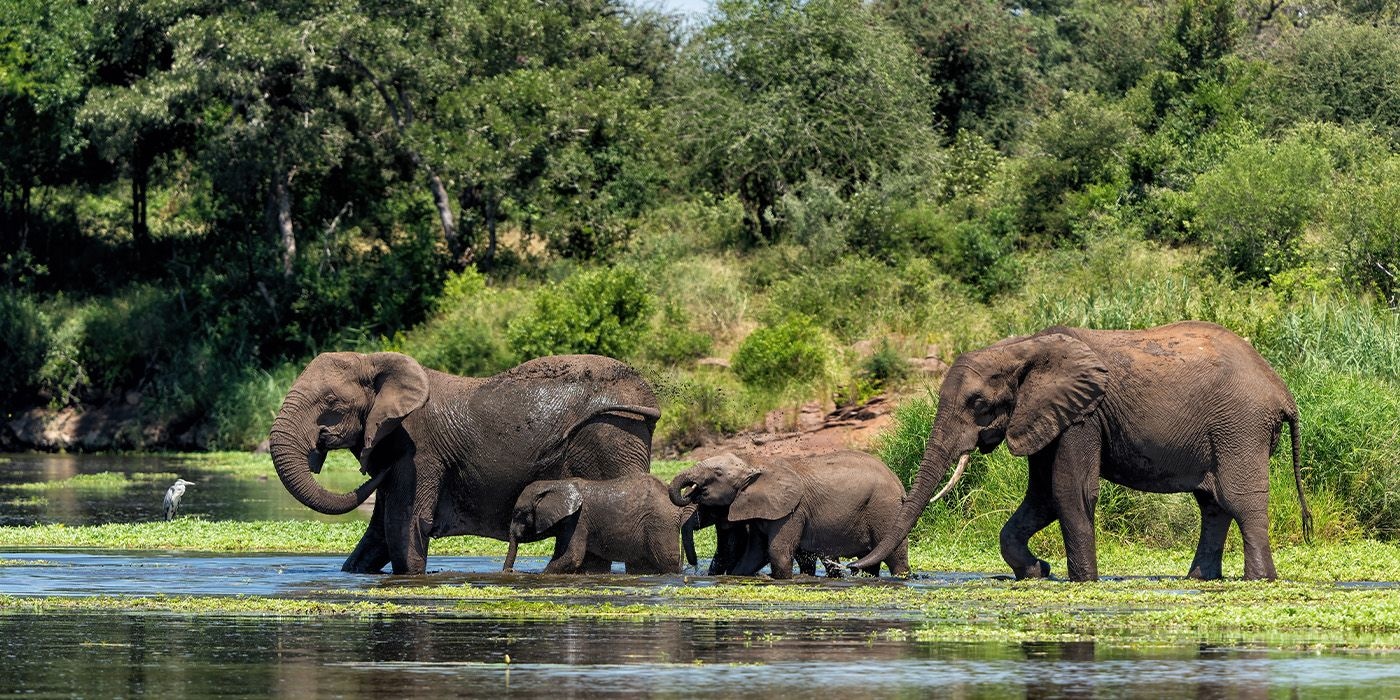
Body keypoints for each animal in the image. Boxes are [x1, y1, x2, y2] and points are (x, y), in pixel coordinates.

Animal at [268, 351, 660, 575]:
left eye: (331, 402)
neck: (377, 361)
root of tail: (647, 394)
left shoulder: (419, 453)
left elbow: (403, 526)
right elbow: (378, 533)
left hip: (612, 436)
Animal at [502, 473, 699, 574]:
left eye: (518, 514)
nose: (510, 572)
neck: (555, 484)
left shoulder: (577, 520)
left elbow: (573, 556)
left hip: (660, 523)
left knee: (667, 561)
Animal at [669, 450, 911, 579]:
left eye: (717, 473)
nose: (692, 565)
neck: (755, 463)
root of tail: (898, 482)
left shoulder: (792, 511)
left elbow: (777, 552)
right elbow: (755, 554)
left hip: (885, 509)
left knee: (895, 556)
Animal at [850, 321, 1312, 582]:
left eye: (978, 404)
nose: (849, 570)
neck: (1021, 348)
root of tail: (1282, 391)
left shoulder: (1083, 415)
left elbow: (1069, 491)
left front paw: (1083, 582)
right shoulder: (1045, 416)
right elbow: (1041, 497)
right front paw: (1037, 572)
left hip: (1240, 427)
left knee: (1239, 501)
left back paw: (1259, 581)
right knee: (1212, 505)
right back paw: (1199, 580)